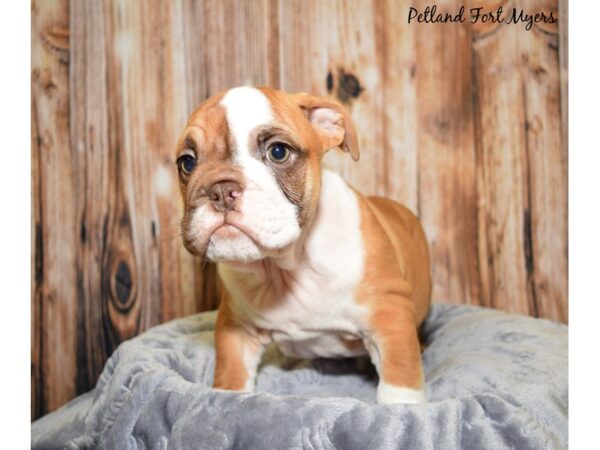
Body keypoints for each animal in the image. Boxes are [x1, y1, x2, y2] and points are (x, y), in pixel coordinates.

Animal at [175, 87, 432, 404]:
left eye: (278, 152)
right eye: (187, 163)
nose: (220, 190)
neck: (286, 267)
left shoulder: (390, 315)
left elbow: (400, 383)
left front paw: (401, 409)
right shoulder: (235, 328)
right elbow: (231, 376)